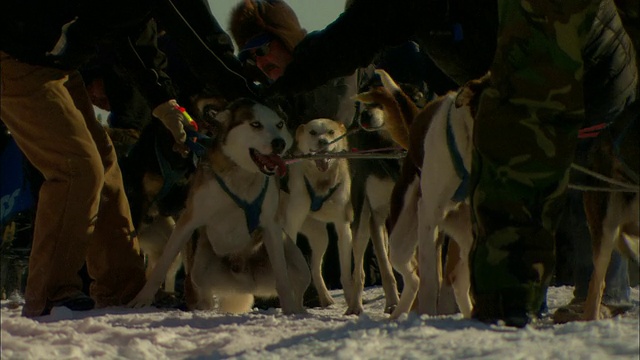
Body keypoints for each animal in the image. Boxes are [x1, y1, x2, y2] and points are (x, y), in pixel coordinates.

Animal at [128, 97, 310, 314]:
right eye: (255, 124)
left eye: (279, 124)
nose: (279, 143)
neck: (242, 176)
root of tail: (245, 281)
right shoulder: (189, 220)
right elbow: (162, 265)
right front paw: (143, 298)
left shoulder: (271, 227)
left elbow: (283, 279)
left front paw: (289, 309)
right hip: (200, 270)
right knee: (198, 286)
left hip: (299, 264)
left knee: (297, 284)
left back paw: (298, 310)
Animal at [280, 118, 358, 312]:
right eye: (313, 132)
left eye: (331, 132)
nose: (323, 142)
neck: (321, 182)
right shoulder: (291, 226)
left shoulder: (343, 227)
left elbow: (346, 272)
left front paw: (351, 300)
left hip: (320, 236)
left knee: (315, 268)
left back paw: (326, 298)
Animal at [358, 69, 488, 320]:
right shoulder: (429, 216)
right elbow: (429, 279)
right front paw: (428, 315)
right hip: (400, 240)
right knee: (415, 279)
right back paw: (401, 313)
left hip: (464, 234)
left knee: (457, 280)